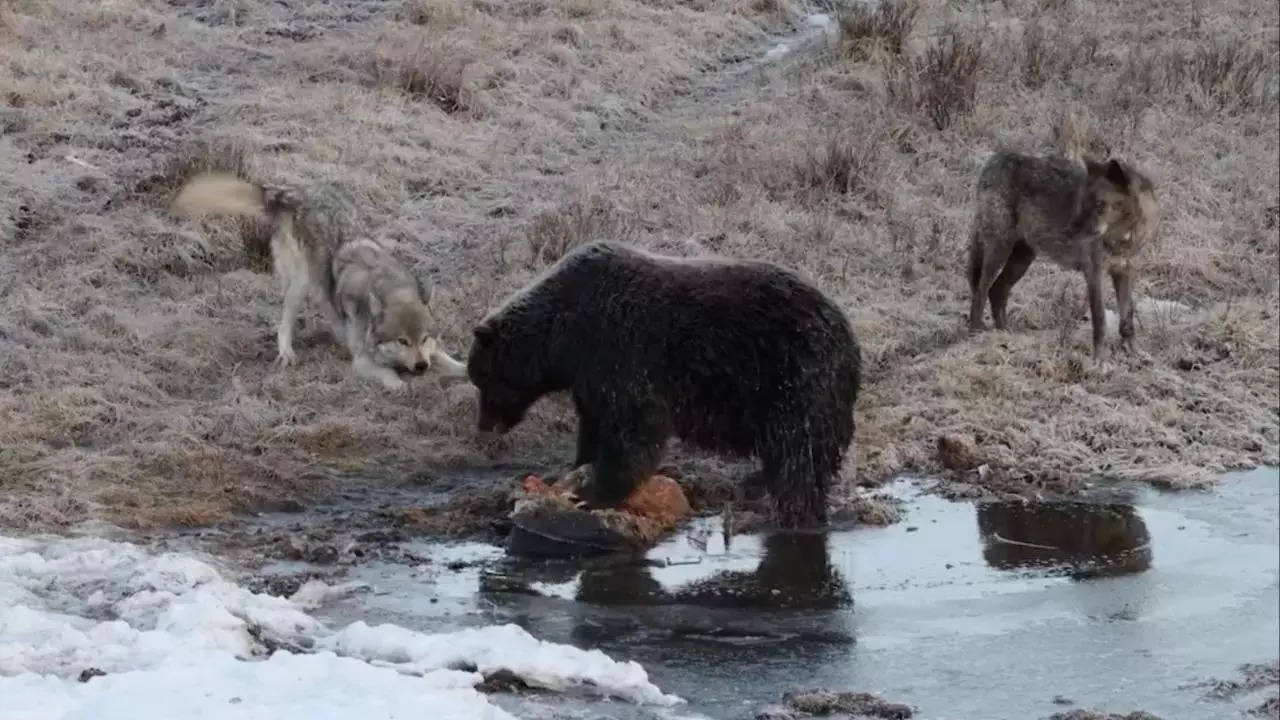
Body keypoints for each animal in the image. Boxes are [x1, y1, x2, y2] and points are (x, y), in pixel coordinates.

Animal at [171, 172, 465, 386]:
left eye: (424, 338)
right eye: (403, 341)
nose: (421, 366)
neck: (388, 286)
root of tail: (291, 191)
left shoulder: (432, 350)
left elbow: (447, 358)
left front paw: (462, 369)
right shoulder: (362, 361)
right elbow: (393, 379)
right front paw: (406, 385)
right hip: (300, 283)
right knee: (284, 325)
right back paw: (287, 353)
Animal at [460, 238, 860, 525]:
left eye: (482, 379)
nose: (485, 426)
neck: (565, 337)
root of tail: (849, 335)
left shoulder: (622, 352)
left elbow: (633, 430)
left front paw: (594, 492)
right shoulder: (590, 376)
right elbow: (594, 422)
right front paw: (577, 467)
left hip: (794, 376)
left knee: (798, 456)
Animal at [962, 151, 1157, 353]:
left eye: (1099, 204)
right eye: (1083, 203)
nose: (1070, 230)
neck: (1122, 239)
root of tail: (996, 158)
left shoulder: (1125, 273)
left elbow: (1128, 317)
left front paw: (1133, 353)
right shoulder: (1094, 274)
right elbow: (1100, 319)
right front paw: (1099, 357)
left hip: (1022, 259)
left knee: (997, 290)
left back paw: (1006, 335)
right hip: (999, 250)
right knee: (981, 290)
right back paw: (975, 333)